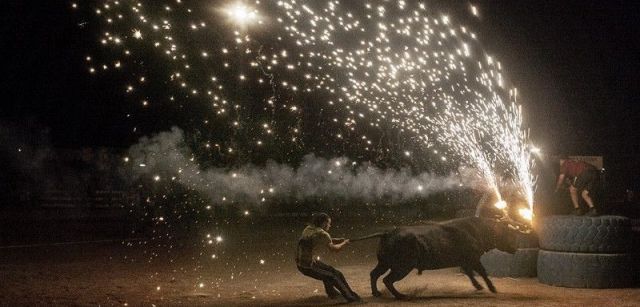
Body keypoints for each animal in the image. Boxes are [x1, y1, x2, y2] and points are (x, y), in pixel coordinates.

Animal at [352, 218, 524, 300]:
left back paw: (376, 293)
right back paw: (401, 296)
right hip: (402, 267)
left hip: (385, 263)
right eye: (508, 233)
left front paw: (479, 286)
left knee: (374, 274)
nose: (515, 249)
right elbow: (482, 271)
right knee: (387, 280)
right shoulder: (473, 259)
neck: (480, 230)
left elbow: (470, 273)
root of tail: (388, 233)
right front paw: (492, 288)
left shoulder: (465, 261)